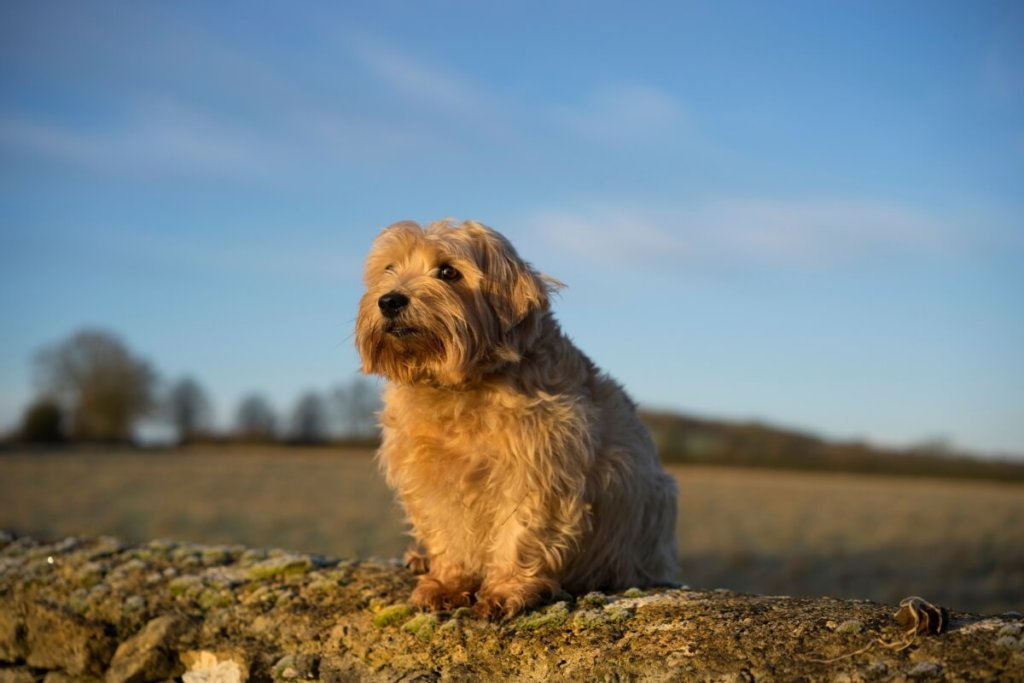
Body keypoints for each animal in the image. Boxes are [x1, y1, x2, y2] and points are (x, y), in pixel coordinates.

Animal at [354, 220, 679, 618]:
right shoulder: (429, 476)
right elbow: (446, 532)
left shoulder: (540, 470)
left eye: (448, 271)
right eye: (389, 268)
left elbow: (522, 530)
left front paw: (506, 589)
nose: (389, 300)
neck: (458, 389)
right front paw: (447, 583)